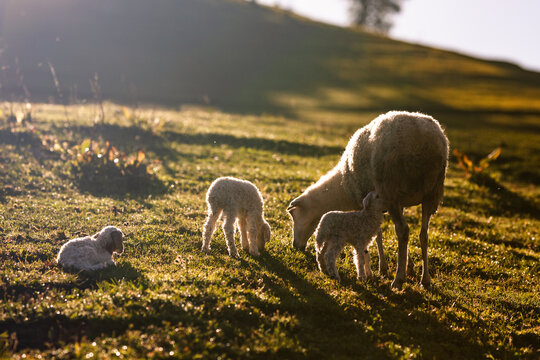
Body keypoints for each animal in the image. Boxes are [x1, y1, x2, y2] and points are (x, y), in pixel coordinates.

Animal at [288, 110, 450, 290]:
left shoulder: (369, 200)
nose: (296, 246)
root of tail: (425, 142)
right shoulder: (395, 203)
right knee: (423, 234)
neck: (342, 188)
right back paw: (425, 279)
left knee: (403, 230)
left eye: (295, 216)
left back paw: (398, 279)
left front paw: (381, 268)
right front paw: (409, 266)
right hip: (432, 194)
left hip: (391, 190)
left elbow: (377, 234)